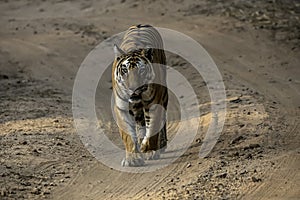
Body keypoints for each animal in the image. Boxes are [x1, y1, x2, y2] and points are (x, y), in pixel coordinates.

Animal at [112, 24, 169, 166]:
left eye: (141, 70)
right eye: (125, 70)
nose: (133, 88)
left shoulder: (154, 104)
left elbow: (153, 128)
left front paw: (148, 150)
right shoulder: (121, 108)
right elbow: (128, 135)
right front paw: (132, 159)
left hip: (164, 94)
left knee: (162, 121)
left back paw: (161, 145)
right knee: (140, 123)